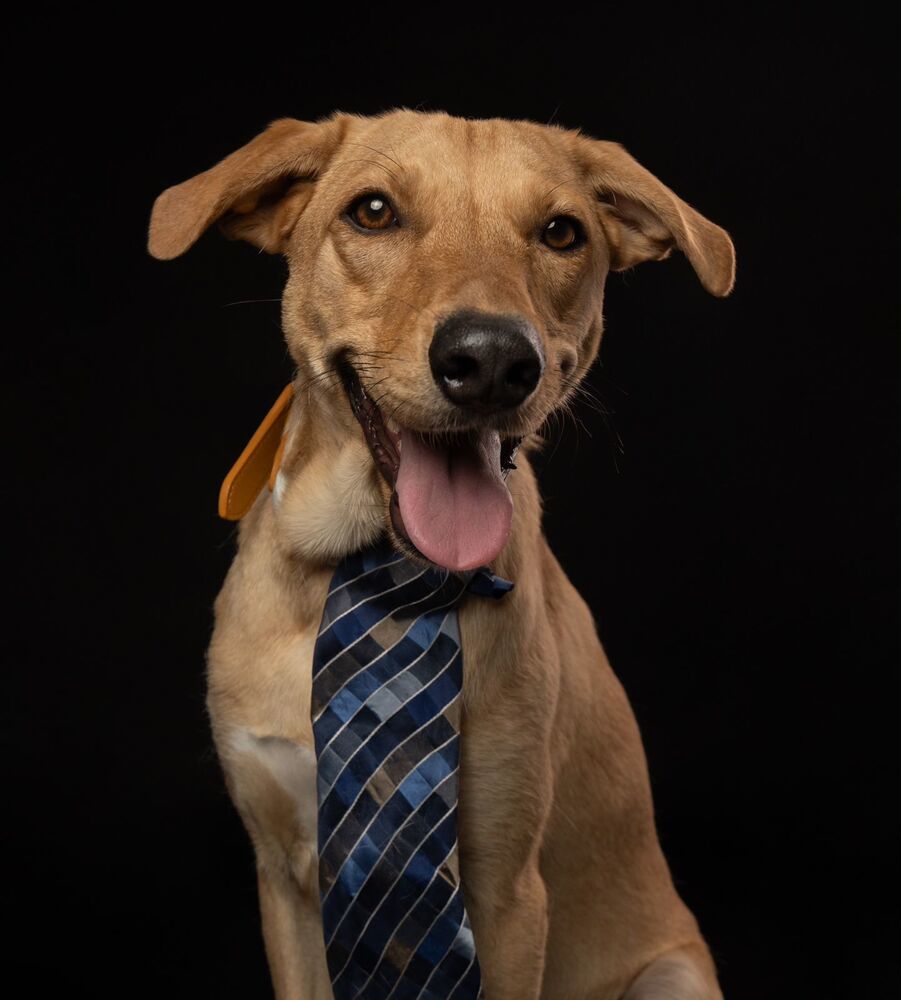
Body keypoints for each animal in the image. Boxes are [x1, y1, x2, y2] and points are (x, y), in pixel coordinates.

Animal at [148, 109, 736, 1000]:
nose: (491, 360)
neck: (378, 567)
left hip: (670, 974)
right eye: (373, 212)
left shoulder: (507, 893)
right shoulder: (282, 878)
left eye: (560, 232)